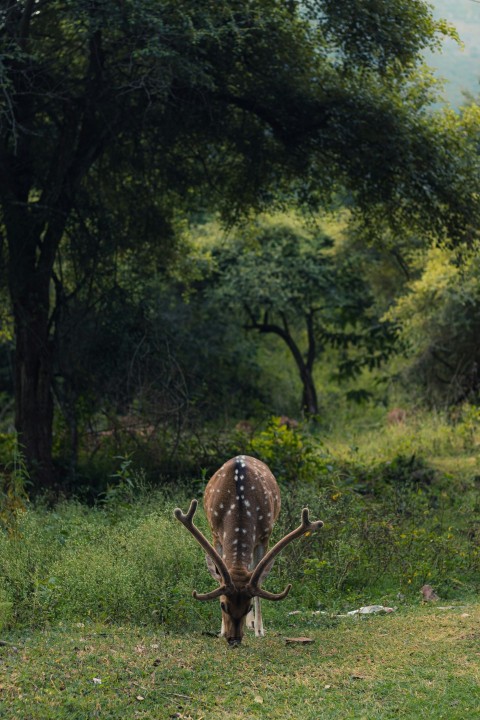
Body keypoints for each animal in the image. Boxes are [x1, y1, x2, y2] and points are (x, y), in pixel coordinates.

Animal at [172, 452, 322, 644]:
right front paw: (221, 629)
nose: (234, 639)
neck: (239, 505)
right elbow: (220, 574)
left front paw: (259, 629)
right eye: (223, 605)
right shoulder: (215, 535)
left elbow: (258, 577)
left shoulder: (265, 536)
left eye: (248, 606)